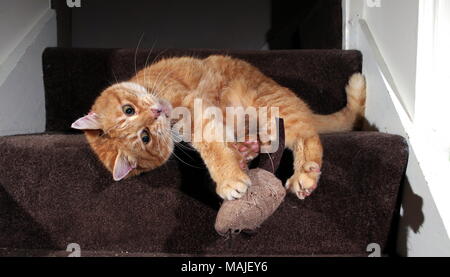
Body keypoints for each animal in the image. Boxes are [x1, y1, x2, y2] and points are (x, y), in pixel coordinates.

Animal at [71, 55, 366, 199]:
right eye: (145, 137)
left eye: (128, 110)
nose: (157, 112)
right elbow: (221, 145)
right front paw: (236, 164)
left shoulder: (196, 110)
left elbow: (214, 148)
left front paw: (229, 179)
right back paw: (248, 149)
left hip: (272, 108)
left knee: (308, 138)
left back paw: (304, 175)